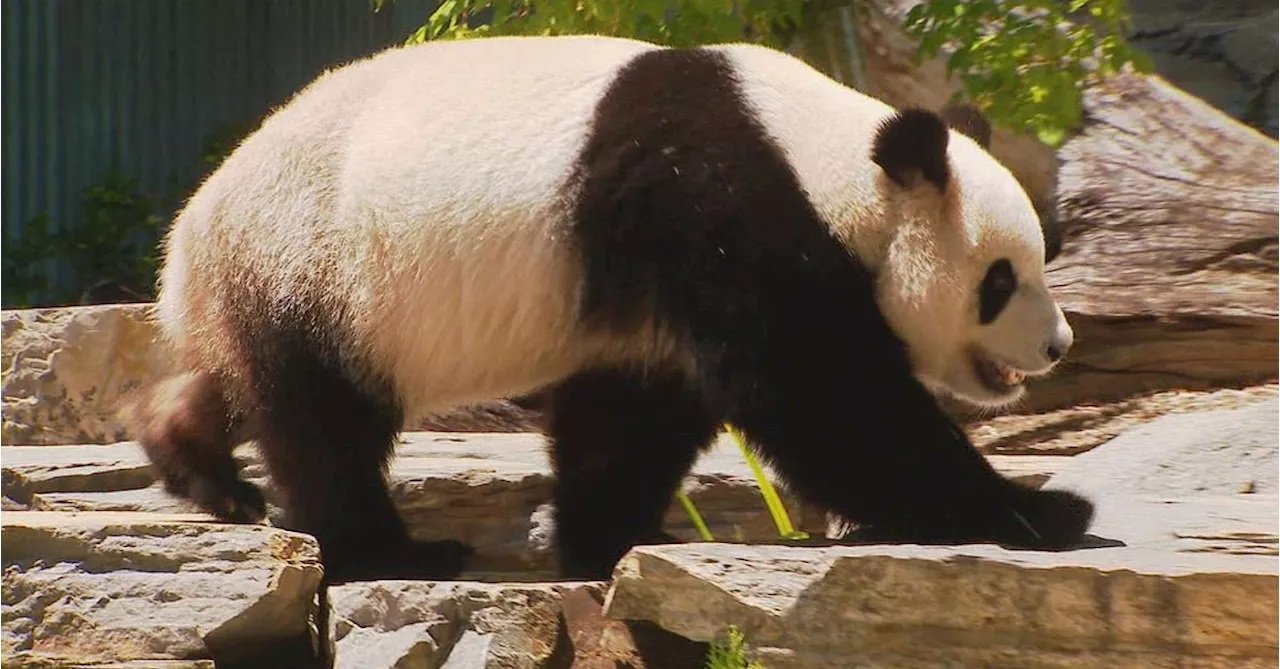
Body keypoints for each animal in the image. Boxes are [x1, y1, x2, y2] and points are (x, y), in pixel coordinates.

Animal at [127, 34, 1090, 583]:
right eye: (1001, 278)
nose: (1057, 345)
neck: (830, 162)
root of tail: (187, 240)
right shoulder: (718, 204)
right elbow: (827, 399)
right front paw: (1040, 510)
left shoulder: (656, 278)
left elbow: (635, 413)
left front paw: (604, 539)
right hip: (320, 262)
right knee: (327, 421)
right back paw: (388, 550)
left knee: (240, 384)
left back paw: (198, 463)